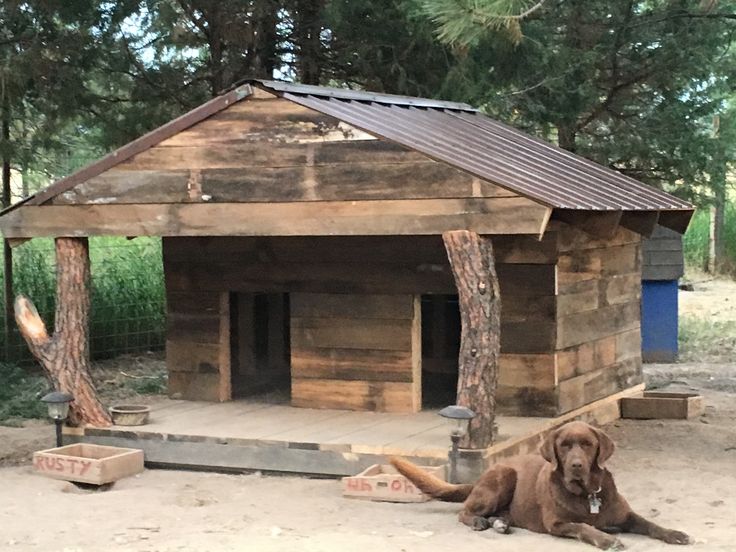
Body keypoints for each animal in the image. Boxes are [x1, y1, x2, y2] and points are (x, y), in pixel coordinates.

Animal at [392, 422, 688, 548]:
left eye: (587, 445)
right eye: (564, 446)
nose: (576, 465)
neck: (586, 494)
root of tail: (477, 479)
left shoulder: (625, 515)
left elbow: (650, 524)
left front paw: (674, 533)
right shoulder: (556, 523)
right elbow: (583, 526)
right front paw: (606, 539)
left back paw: (500, 523)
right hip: (504, 476)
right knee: (465, 511)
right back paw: (479, 521)